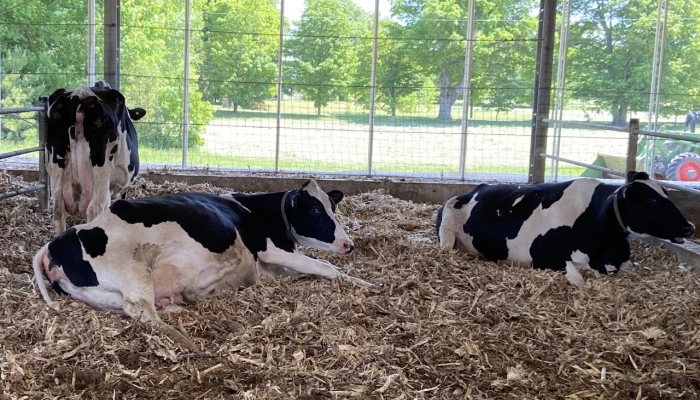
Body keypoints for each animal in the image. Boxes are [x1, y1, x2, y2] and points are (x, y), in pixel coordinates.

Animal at [32, 180, 375, 351]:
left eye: (333, 207)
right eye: (315, 211)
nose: (349, 244)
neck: (256, 211)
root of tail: (53, 244)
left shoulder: (273, 266)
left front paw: (366, 283)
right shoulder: (272, 251)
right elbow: (326, 266)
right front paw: (367, 283)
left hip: (105, 293)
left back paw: (178, 303)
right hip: (134, 267)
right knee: (140, 310)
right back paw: (187, 340)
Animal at [436, 171, 695, 287]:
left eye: (666, 193)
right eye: (650, 200)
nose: (689, 227)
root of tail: (475, 188)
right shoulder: (545, 258)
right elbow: (580, 281)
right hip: (447, 233)